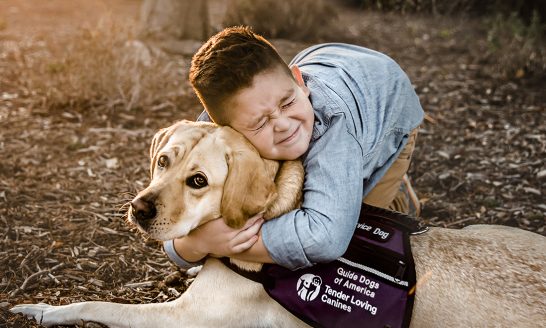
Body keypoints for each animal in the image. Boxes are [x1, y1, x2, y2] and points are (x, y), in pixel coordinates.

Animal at [10, 121, 544, 326]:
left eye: (199, 181)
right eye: (163, 162)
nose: (139, 209)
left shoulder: (183, 317)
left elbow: (99, 304)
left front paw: (44, 308)